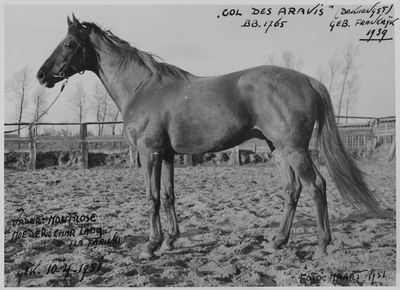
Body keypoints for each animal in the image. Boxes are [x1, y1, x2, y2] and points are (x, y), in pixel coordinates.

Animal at [37, 14, 384, 260]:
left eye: (68, 44)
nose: (41, 75)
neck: (142, 88)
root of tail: (308, 80)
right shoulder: (167, 154)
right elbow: (168, 196)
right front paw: (170, 241)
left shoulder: (150, 153)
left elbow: (151, 198)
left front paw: (151, 246)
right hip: (278, 149)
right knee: (293, 190)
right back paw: (277, 241)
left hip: (295, 148)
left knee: (316, 186)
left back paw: (322, 245)